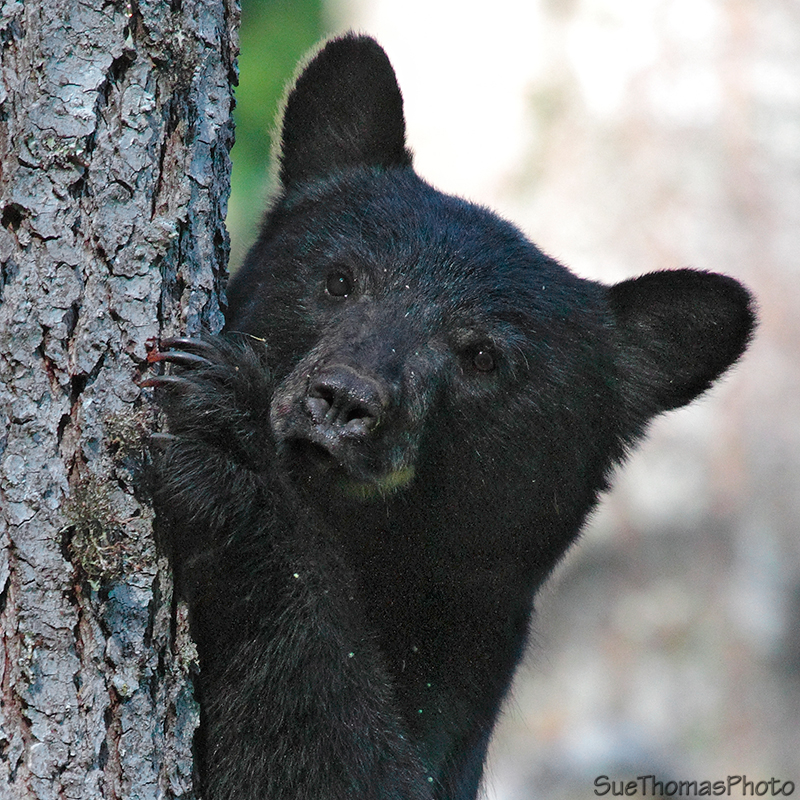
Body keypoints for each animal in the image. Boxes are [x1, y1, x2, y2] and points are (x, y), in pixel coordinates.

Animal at [144, 33, 756, 800]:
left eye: (483, 356)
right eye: (338, 279)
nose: (344, 401)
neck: (367, 546)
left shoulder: (460, 663)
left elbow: (344, 762)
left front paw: (234, 448)